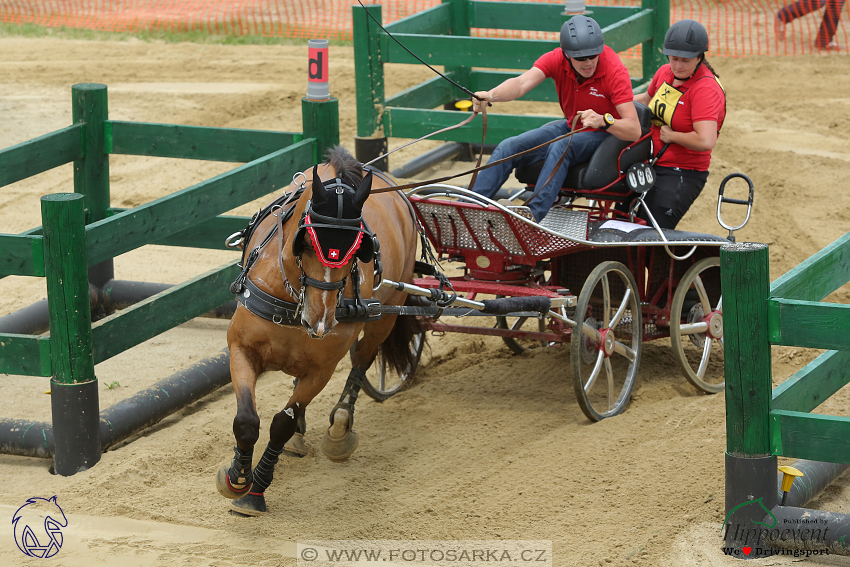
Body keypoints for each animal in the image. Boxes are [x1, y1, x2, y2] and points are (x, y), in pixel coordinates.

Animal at [215, 145, 420, 516]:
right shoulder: (241, 349)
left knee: (363, 359)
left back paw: (340, 427)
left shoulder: (321, 371)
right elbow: (247, 421)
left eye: (358, 249)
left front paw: (256, 491)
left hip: (387, 314)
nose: (321, 321)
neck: (292, 301)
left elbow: (280, 424)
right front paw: (236, 478)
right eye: (306, 243)